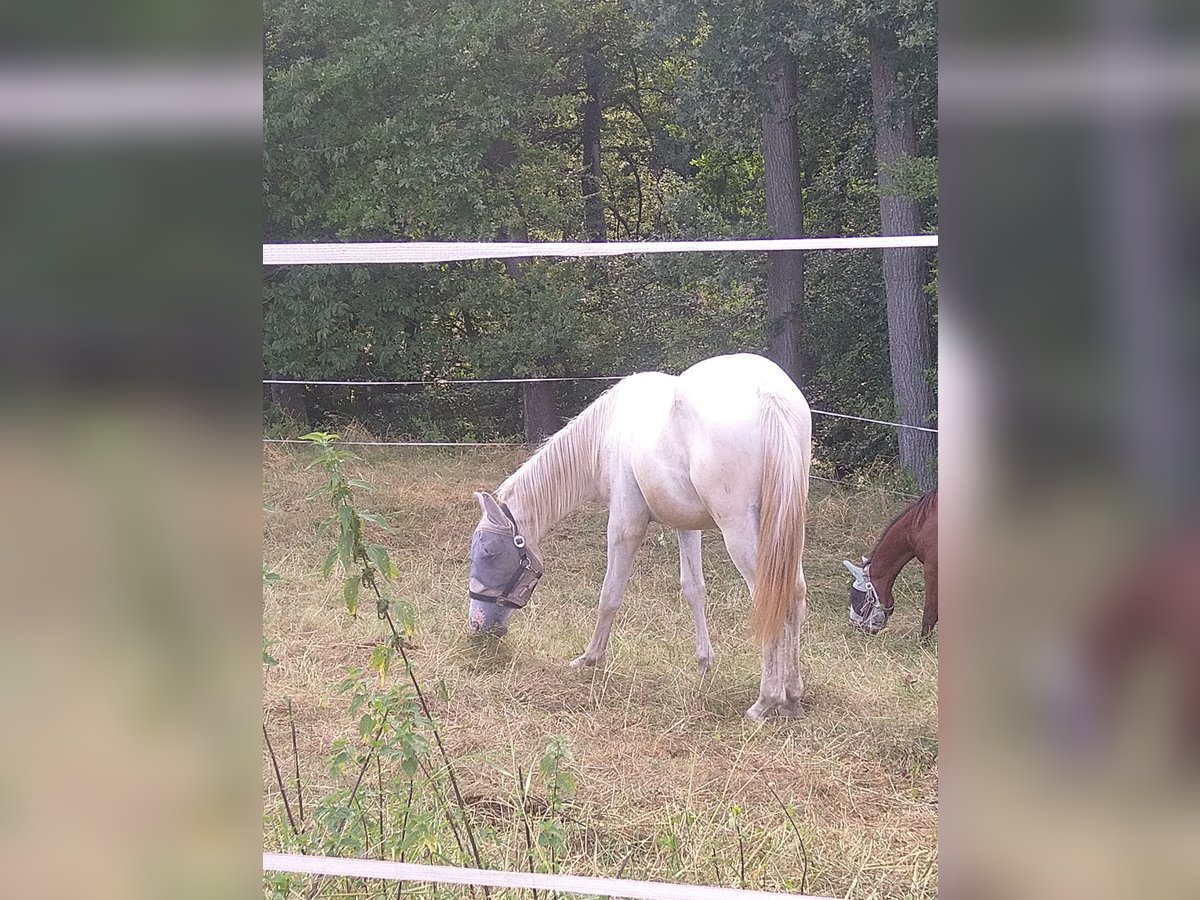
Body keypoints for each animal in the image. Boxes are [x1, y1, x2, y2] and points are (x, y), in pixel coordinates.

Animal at [463, 355, 811, 724]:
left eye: (488, 552)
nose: (477, 625)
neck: (607, 429)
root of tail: (769, 395)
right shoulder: (687, 525)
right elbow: (694, 589)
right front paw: (704, 664)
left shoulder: (624, 525)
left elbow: (610, 594)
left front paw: (589, 658)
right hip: (785, 530)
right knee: (794, 593)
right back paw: (792, 697)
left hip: (741, 529)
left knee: (768, 597)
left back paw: (766, 701)